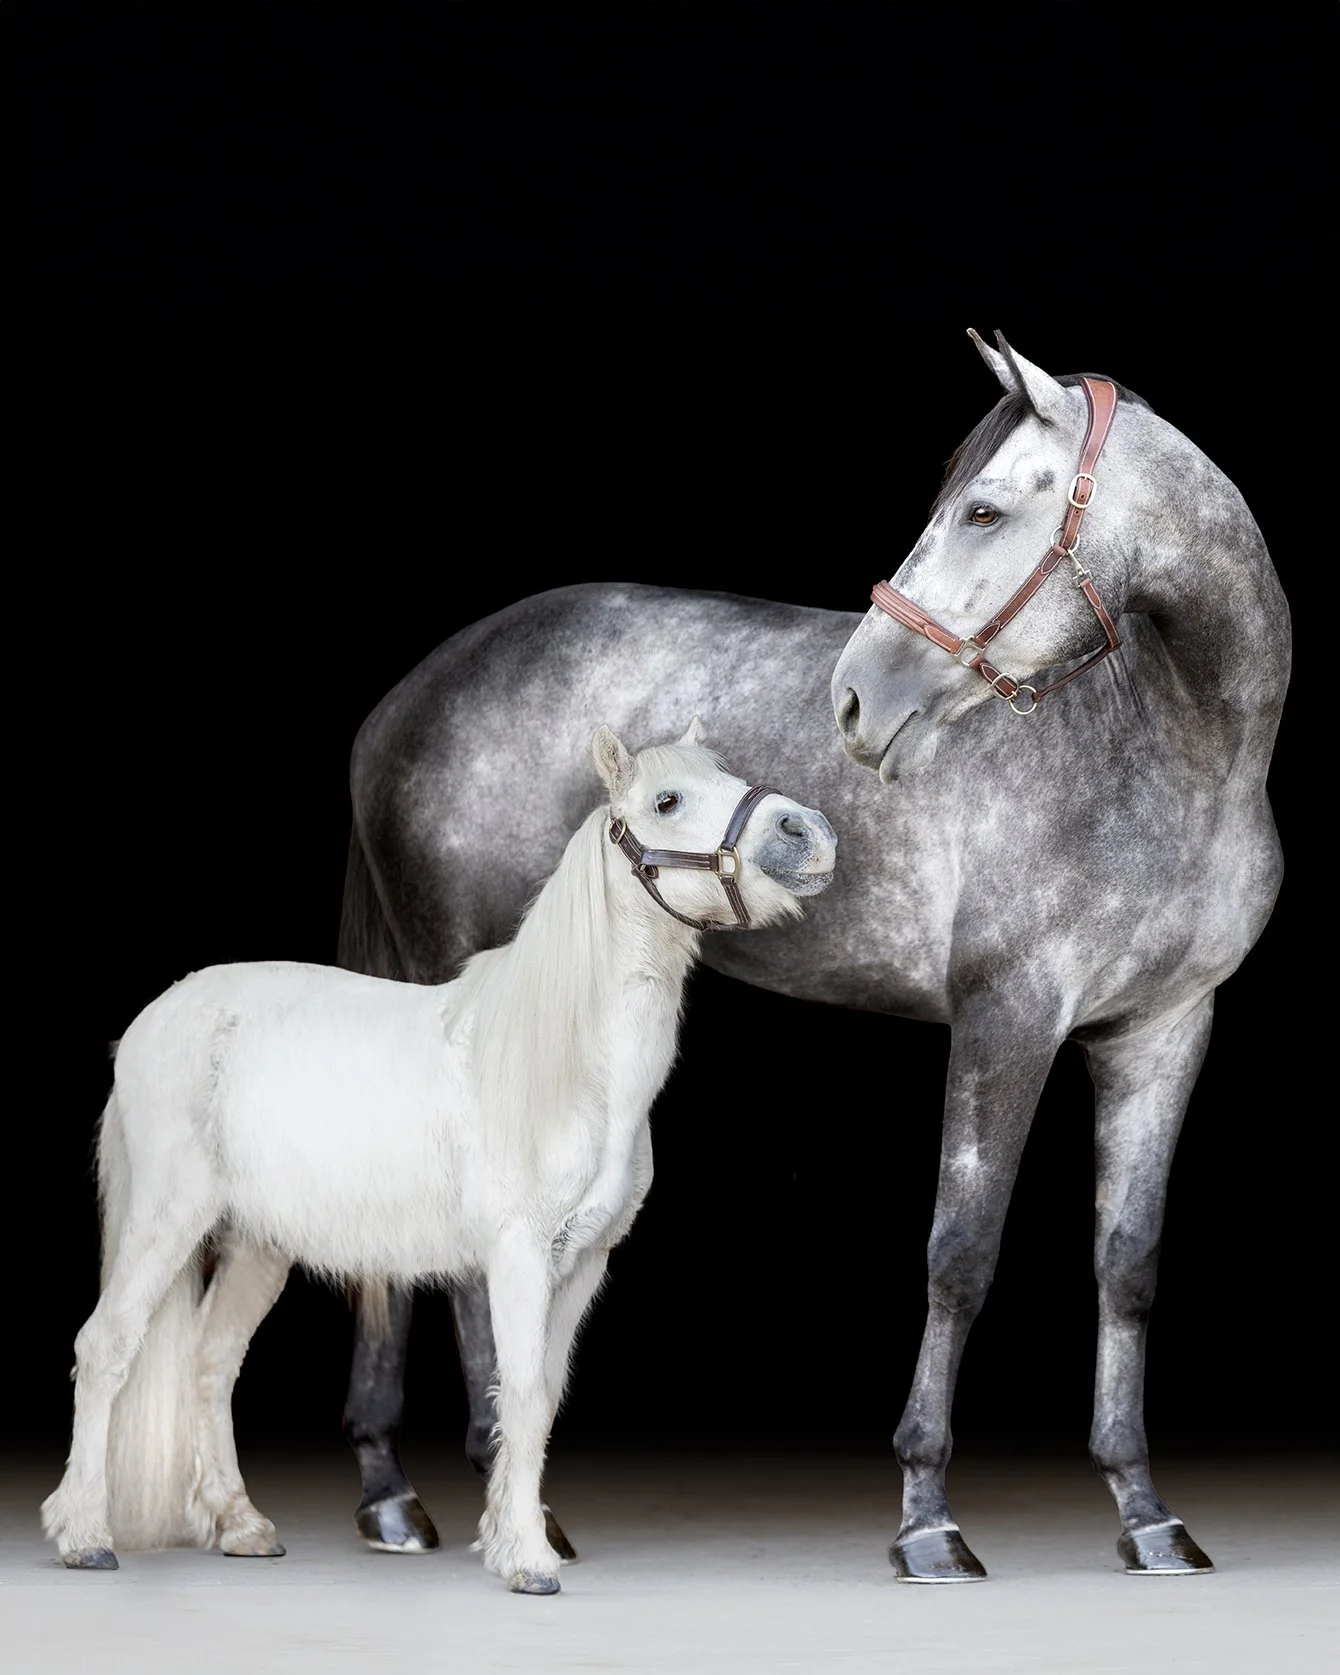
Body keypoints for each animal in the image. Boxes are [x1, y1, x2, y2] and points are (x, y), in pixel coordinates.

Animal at [42, 720, 838, 1593]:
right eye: (667, 800)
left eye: (730, 772)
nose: (809, 832)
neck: (569, 1062)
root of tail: (154, 1018)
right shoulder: (518, 1251)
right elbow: (517, 1388)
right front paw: (528, 1560)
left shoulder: (583, 1262)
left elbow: (543, 1398)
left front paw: (511, 1535)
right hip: (167, 1215)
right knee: (106, 1348)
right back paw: (83, 1535)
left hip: (257, 1243)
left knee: (210, 1363)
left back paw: (242, 1526)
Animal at [333, 331, 1289, 1582]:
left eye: (982, 510)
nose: (854, 697)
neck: (1176, 755)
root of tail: (405, 701)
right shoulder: (1008, 1016)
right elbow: (958, 1253)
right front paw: (927, 1519)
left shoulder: (1163, 1031)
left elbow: (1124, 1265)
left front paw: (1145, 1515)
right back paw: (504, 1486)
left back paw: (393, 1494)